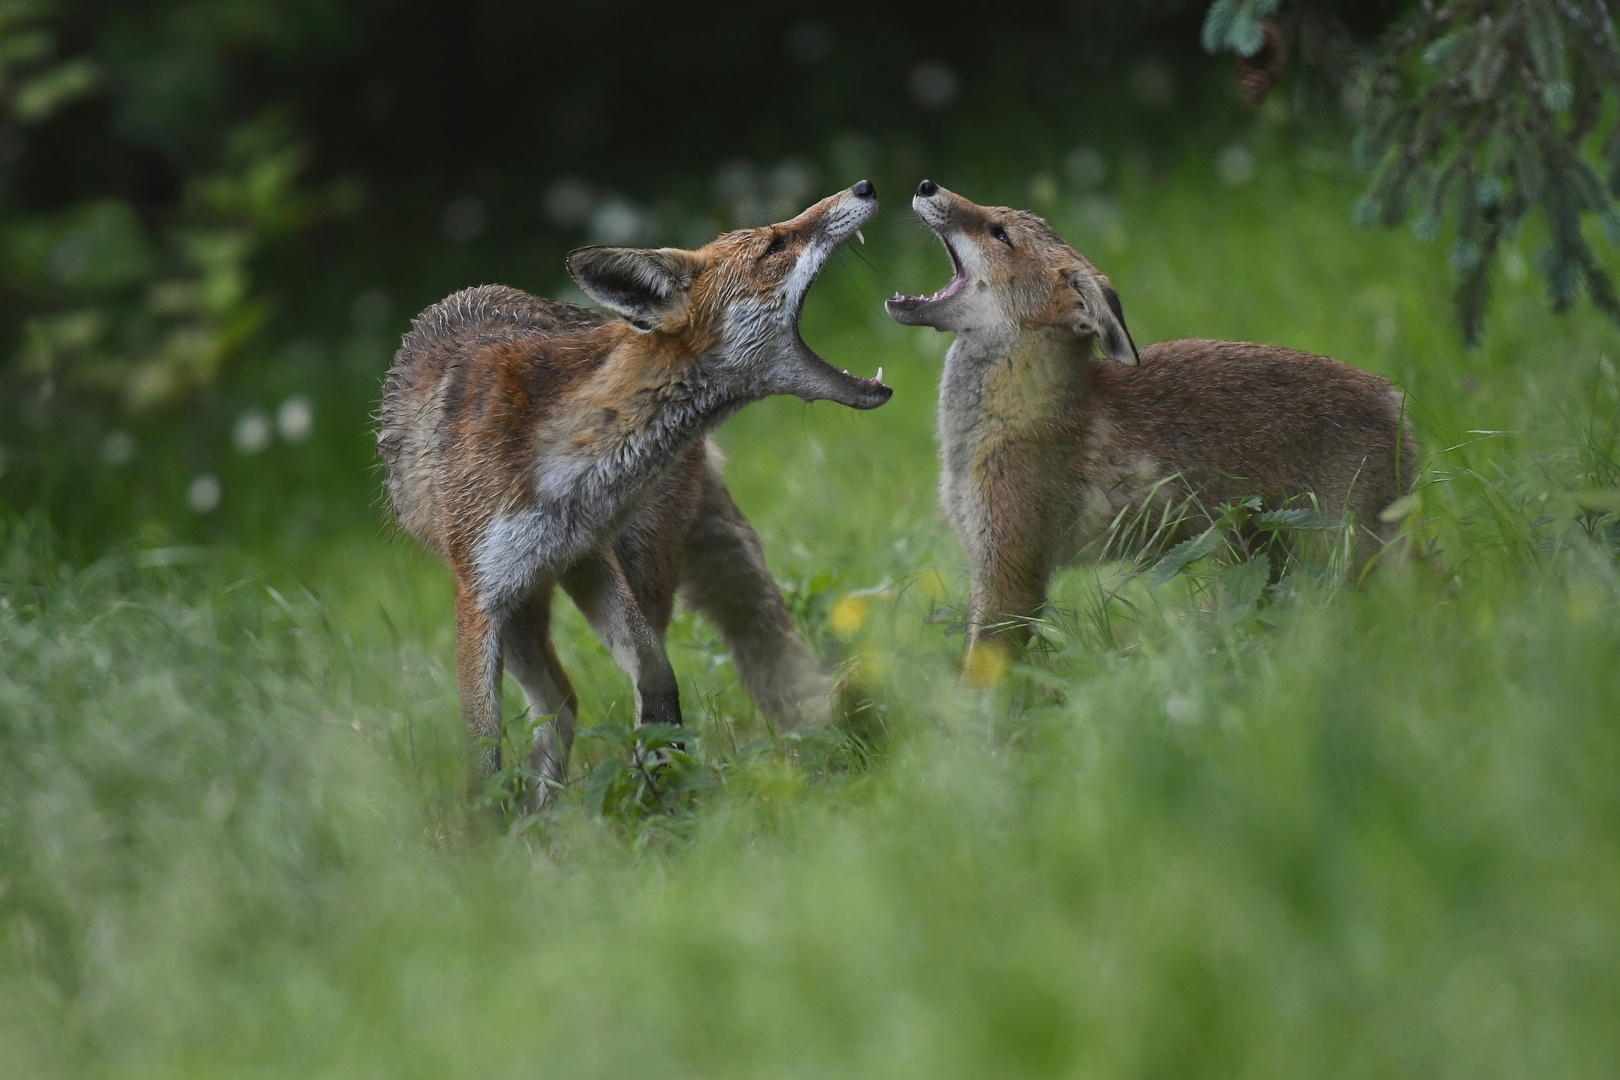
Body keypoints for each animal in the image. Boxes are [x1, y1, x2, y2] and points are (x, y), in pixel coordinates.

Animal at [379, 181, 887, 803]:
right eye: (775, 244)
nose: (864, 186)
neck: (565, 465)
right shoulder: (479, 596)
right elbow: (484, 757)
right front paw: (488, 826)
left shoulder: (586, 556)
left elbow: (655, 676)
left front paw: (659, 782)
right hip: (521, 600)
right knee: (559, 703)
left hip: (628, 565)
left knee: (572, 698)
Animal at [887, 180, 1419, 670]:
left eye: (999, 233)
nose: (926, 184)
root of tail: (1393, 399)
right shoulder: (984, 559)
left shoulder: (1012, 572)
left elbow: (984, 680)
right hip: (1263, 552)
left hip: (1337, 552)